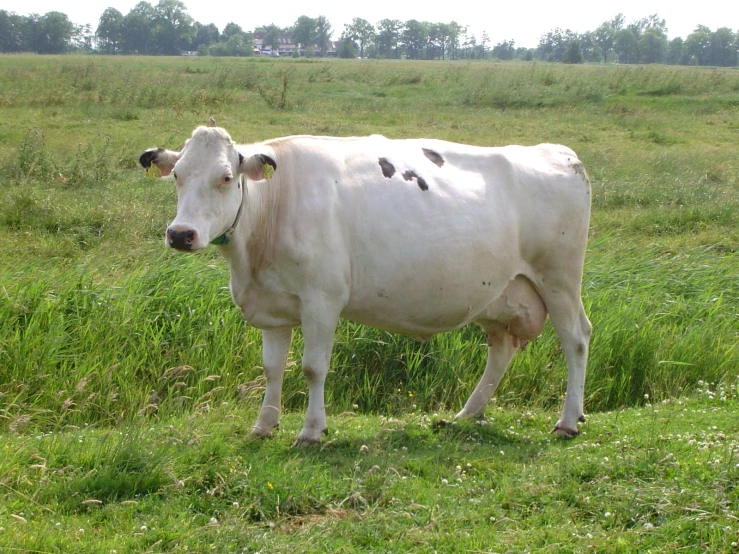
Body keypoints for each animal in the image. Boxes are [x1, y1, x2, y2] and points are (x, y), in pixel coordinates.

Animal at [142, 124, 596, 444]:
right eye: (177, 175)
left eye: (224, 177)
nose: (180, 234)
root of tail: (558, 152)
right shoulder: (272, 306)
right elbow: (272, 368)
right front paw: (264, 425)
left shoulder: (322, 299)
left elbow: (312, 367)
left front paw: (311, 430)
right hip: (501, 294)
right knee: (501, 350)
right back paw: (467, 413)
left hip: (559, 279)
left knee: (576, 339)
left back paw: (568, 421)